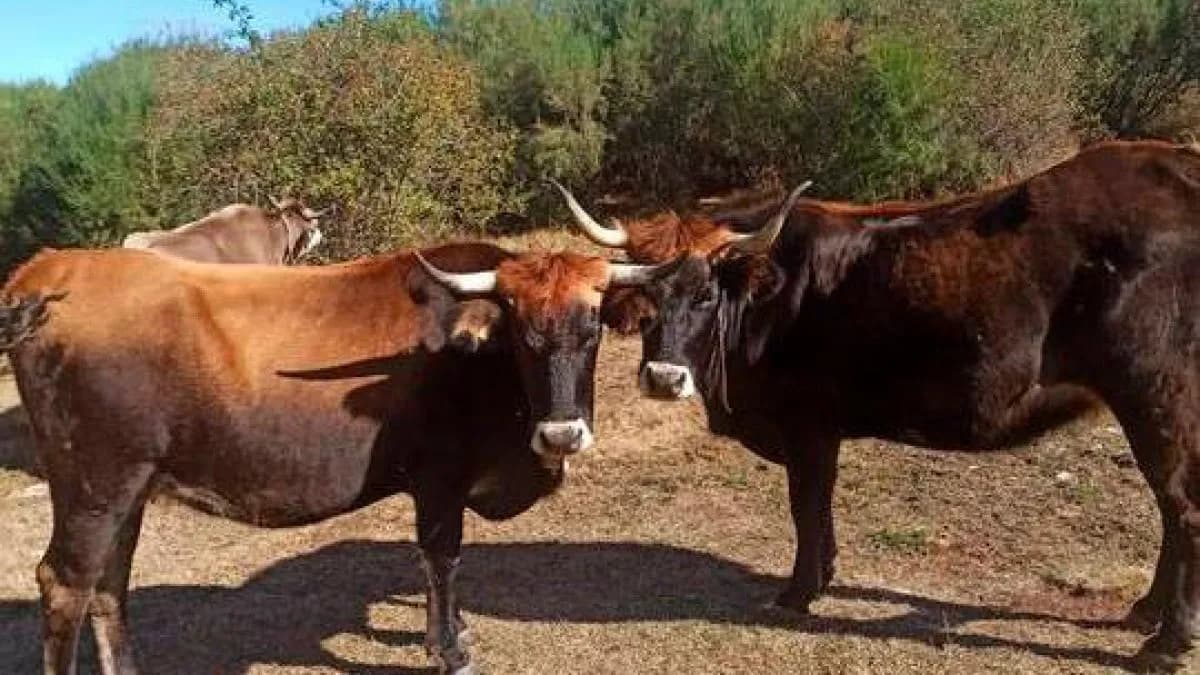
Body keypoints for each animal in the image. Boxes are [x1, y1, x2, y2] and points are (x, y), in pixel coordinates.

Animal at [0, 242, 675, 675]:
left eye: (590, 328)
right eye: (522, 332)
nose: (562, 435)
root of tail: (52, 268)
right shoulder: (438, 479)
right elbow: (442, 559)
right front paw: (450, 650)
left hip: (129, 490)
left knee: (108, 586)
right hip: (96, 487)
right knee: (66, 584)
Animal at [552, 139, 1200, 670]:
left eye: (707, 293)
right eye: (646, 297)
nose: (664, 378)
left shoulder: (807, 425)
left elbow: (806, 505)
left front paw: (798, 592)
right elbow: (820, 507)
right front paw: (825, 575)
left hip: (1154, 395)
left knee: (1183, 507)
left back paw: (1165, 643)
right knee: (1172, 509)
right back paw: (1146, 611)